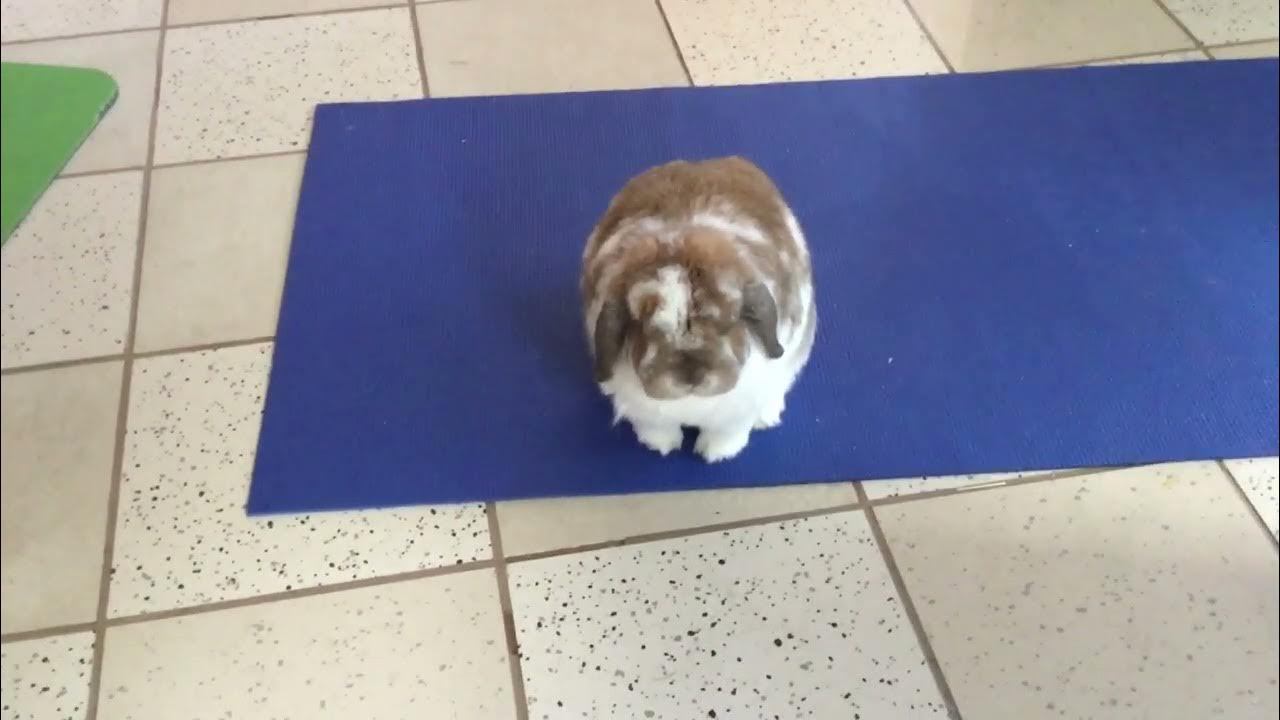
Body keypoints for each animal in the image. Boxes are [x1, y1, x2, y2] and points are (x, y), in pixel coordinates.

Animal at [582, 156, 816, 462]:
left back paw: (767, 415)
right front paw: (661, 445)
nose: (691, 377)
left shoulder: (735, 415)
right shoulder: (647, 415)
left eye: (730, 322)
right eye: (646, 329)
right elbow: (656, 428)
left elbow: (727, 433)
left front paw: (716, 453)